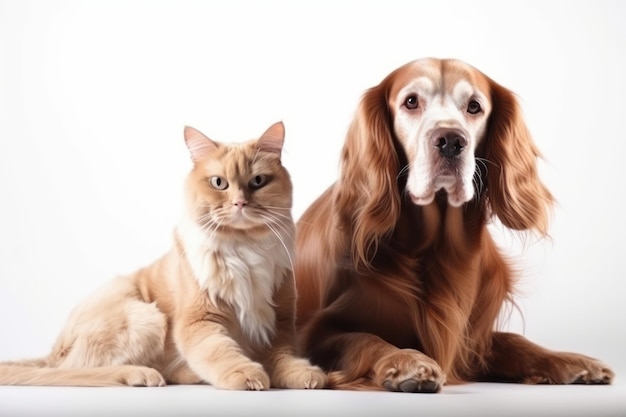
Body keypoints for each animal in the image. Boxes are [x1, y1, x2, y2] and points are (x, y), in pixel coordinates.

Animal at [1, 121, 326, 390]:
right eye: (219, 183)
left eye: (258, 181)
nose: (239, 203)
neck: (243, 246)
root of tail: (52, 351)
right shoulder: (200, 321)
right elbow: (221, 352)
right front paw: (247, 375)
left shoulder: (278, 323)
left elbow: (284, 358)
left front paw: (304, 375)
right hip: (146, 318)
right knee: (75, 371)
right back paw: (140, 375)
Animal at [294, 57, 616, 392]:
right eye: (411, 101)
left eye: (474, 106)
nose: (450, 141)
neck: (437, 247)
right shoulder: (315, 333)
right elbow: (364, 338)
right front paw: (406, 361)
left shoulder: (473, 340)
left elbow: (515, 341)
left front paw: (570, 361)